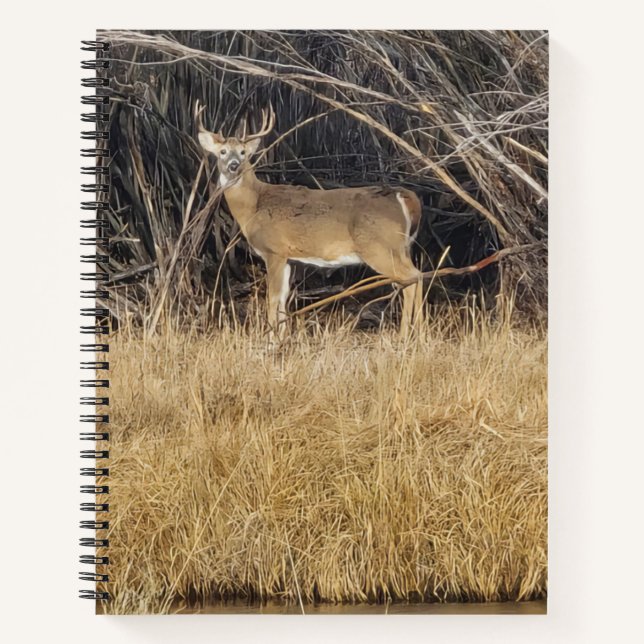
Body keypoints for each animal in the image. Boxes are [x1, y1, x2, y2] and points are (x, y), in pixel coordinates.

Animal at [195, 101, 425, 336]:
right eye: (222, 152)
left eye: (243, 153)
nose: (233, 165)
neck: (254, 206)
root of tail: (404, 196)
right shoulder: (289, 258)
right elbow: (283, 299)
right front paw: (281, 337)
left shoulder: (274, 250)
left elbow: (272, 298)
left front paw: (269, 338)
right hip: (401, 248)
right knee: (416, 277)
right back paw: (417, 332)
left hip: (380, 247)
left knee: (414, 277)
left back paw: (407, 333)